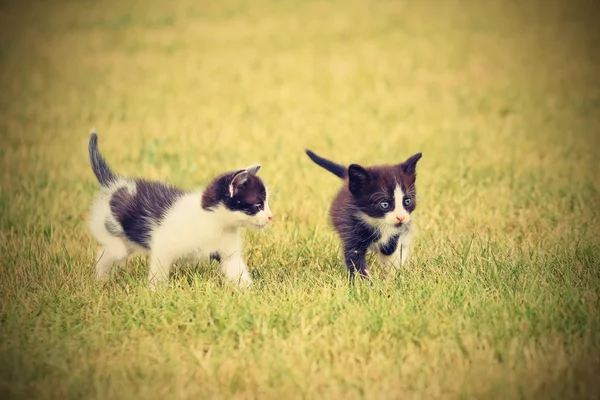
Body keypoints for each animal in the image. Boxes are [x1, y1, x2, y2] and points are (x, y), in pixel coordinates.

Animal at [88, 131, 274, 290]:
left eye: (266, 204)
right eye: (258, 205)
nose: (271, 217)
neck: (215, 223)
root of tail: (115, 184)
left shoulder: (228, 253)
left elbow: (238, 272)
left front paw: (250, 293)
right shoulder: (163, 245)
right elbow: (158, 272)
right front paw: (157, 292)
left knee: (104, 254)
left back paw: (101, 279)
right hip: (106, 220)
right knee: (104, 237)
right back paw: (112, 252)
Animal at [304, 148, 422, 280]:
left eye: (407, 201)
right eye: (384, 204)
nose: (400, 217)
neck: (377, 222)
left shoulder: (400, 228)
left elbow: (391, 246)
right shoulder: (351, 230)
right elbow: (354, 259)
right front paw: (364, 282)